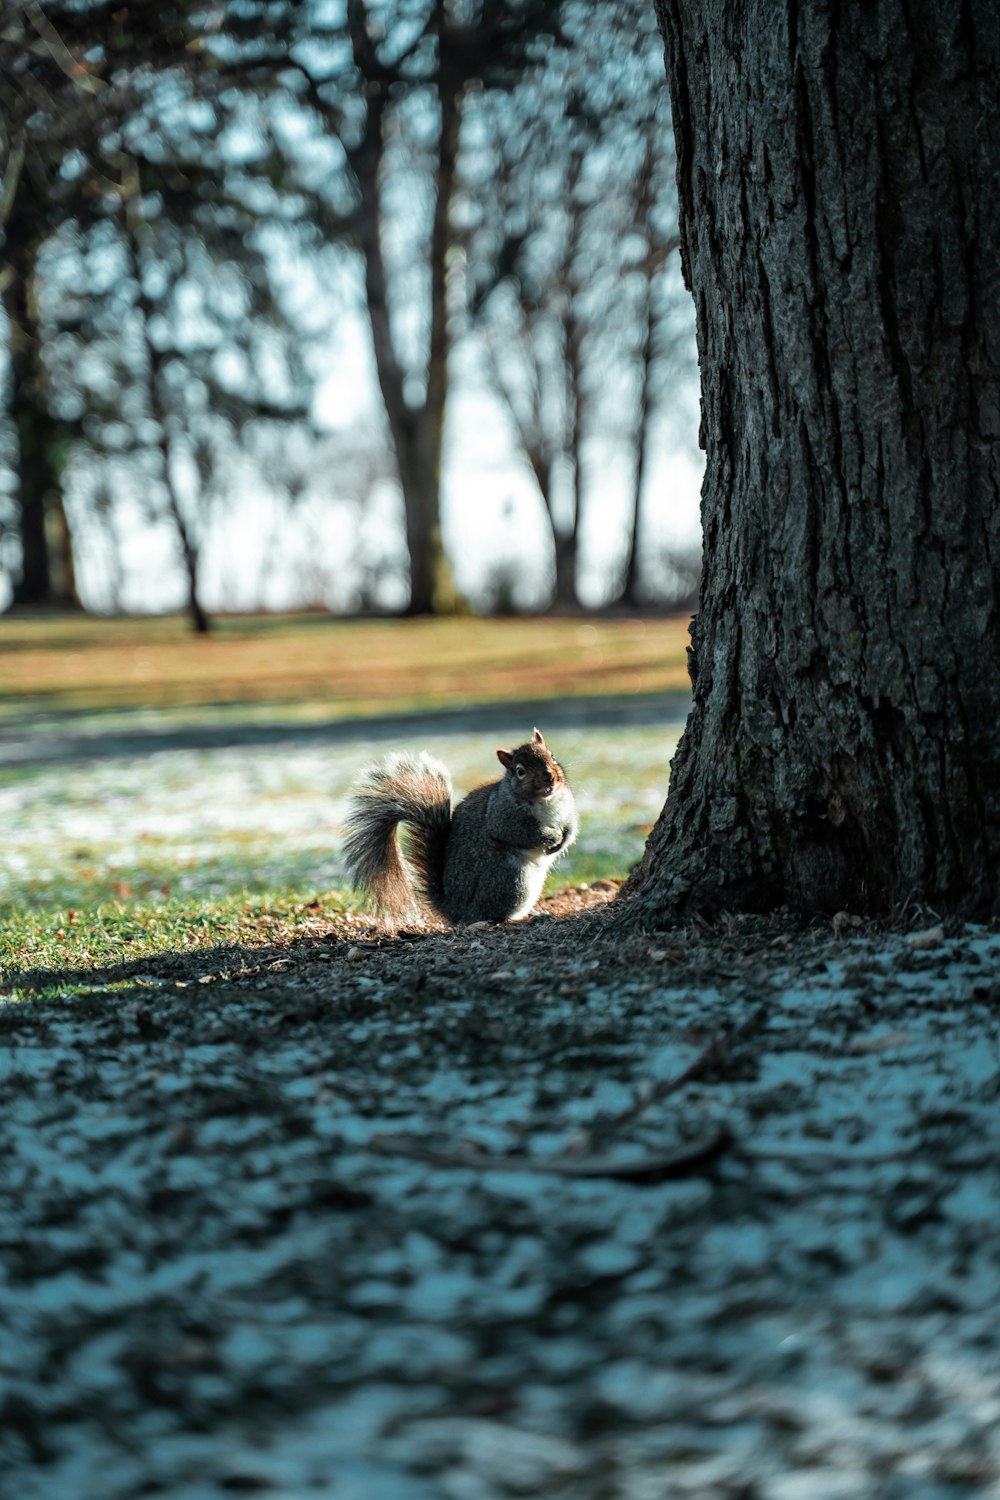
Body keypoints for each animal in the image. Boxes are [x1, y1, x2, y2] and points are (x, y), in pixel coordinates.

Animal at [344, 726, 578, 924]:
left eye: (552, 756)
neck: (545, 800)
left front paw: (563, 840)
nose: (549, 777)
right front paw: (551, 838)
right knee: (491, 915)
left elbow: (571, 827)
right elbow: (519, 833)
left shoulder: (567, 808)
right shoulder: (502, 815)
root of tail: (455, 911)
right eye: (520, 771)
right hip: (510, 880)